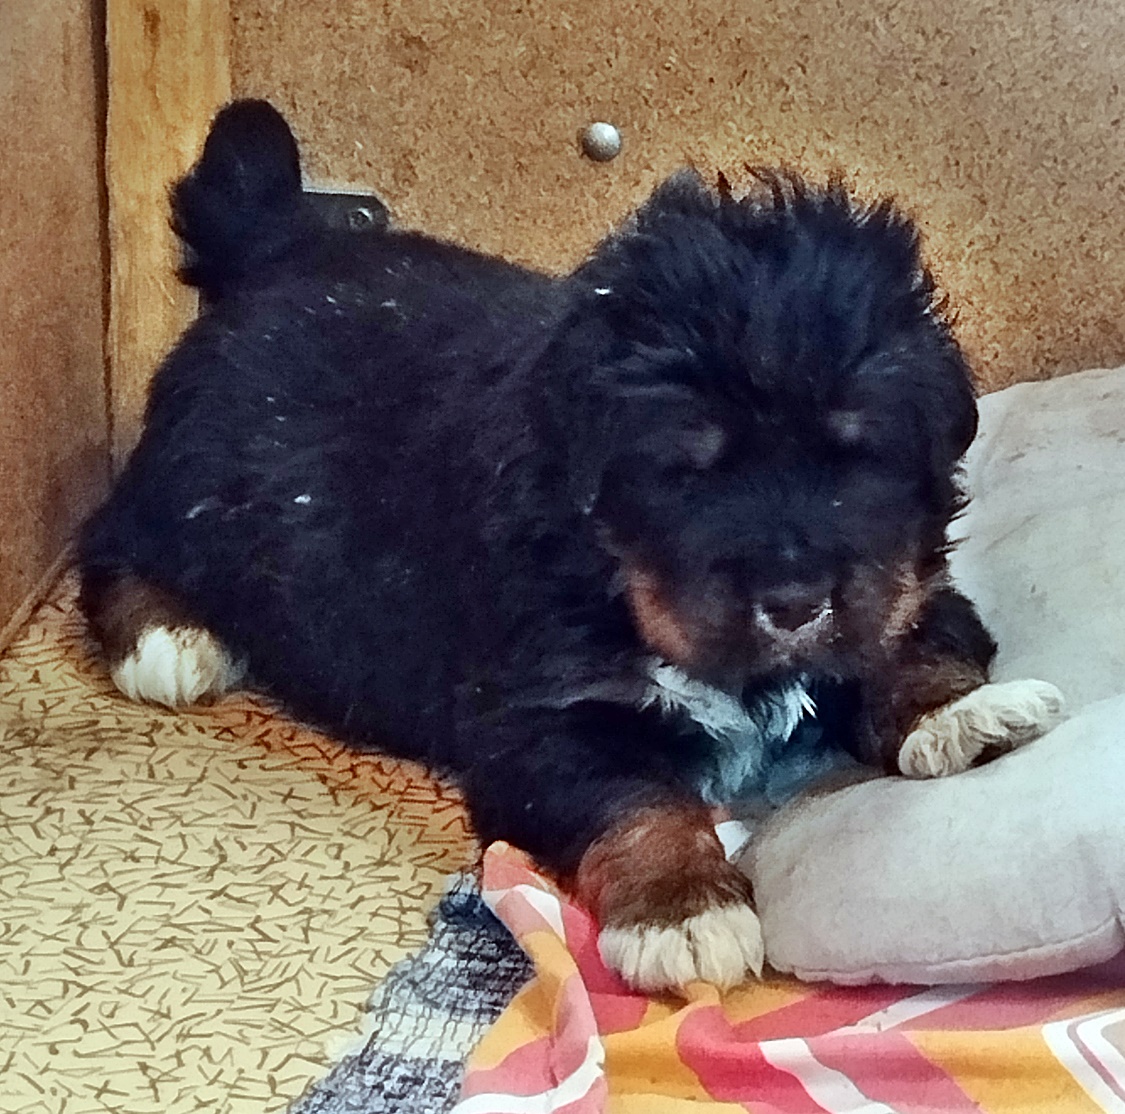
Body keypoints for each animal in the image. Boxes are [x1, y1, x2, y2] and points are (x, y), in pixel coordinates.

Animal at [79, 100, 1063, 993]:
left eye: (857, 455)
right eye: (686, 470)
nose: (791, 602)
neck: (614, 575)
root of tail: (277, 245)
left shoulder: (906, 585)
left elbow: (907, 642)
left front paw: (963, 715)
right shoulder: (543, 717)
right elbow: (636, 796)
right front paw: (682, 911)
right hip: (190, 484)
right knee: (111, 534)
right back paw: (168, 642)